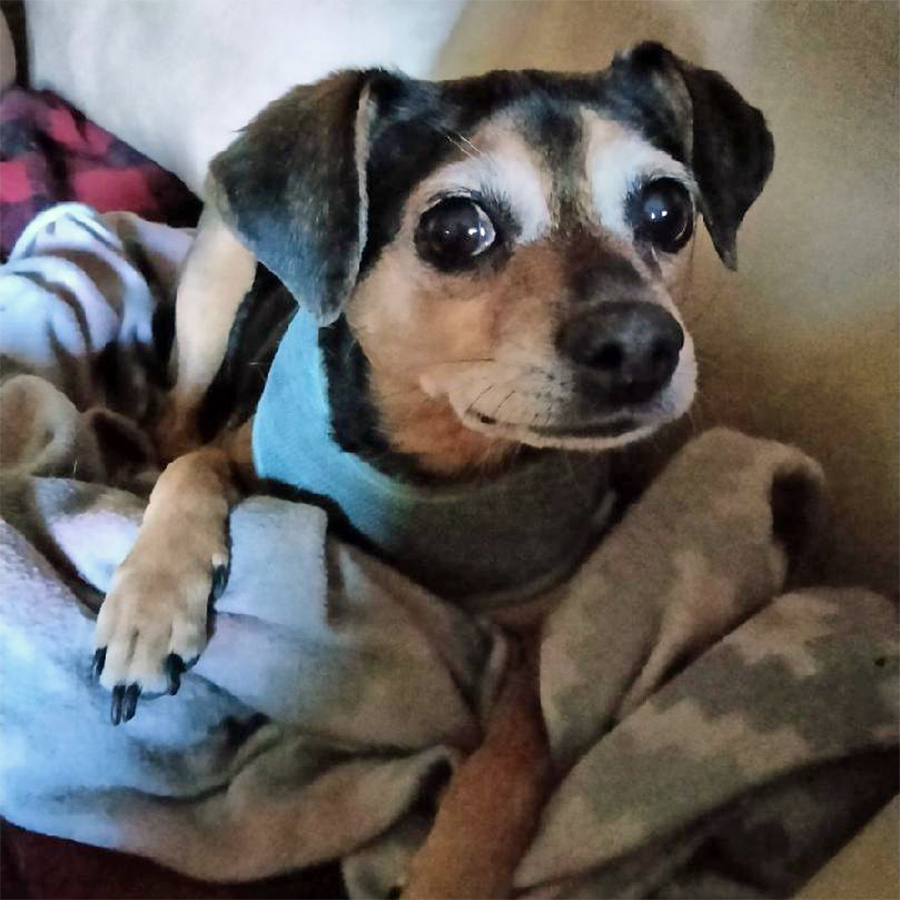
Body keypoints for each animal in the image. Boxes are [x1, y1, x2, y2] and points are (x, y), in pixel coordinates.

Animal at [90, 41, 772, 888]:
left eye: (669, 211)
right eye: (454, 230)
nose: (643, 346)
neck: (432, 462)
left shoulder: (540, 628)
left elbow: (513, 756)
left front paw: (454, 867)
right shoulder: (242, 445)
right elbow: (193, 471)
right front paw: (150, 607)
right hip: (215, 296)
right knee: (174, 426)